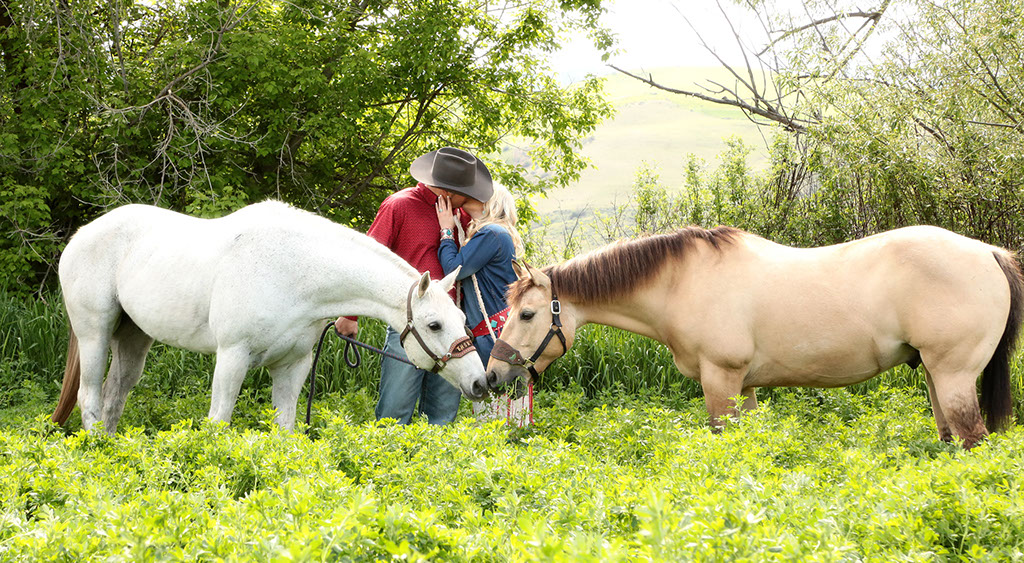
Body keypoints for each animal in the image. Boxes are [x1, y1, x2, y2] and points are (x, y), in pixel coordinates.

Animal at [51, 200, 487, 433]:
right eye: (434, 325)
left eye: (462, 319)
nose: (480, 383)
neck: (295, 270)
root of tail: (81, 236)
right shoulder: (232, 357)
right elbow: (219, 421)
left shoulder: (293, 367)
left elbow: (284, 429)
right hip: (94, 333)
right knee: (89, 397)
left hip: (133, 337)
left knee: (115, 395)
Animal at [486, 225, 1024, 448]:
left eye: (528, 313)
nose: (492, 375)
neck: (683, 281)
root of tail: (989, 253)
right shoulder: (744, 386)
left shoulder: (720, 380)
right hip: (933, 374)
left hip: (954, 376)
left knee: (972, 438)